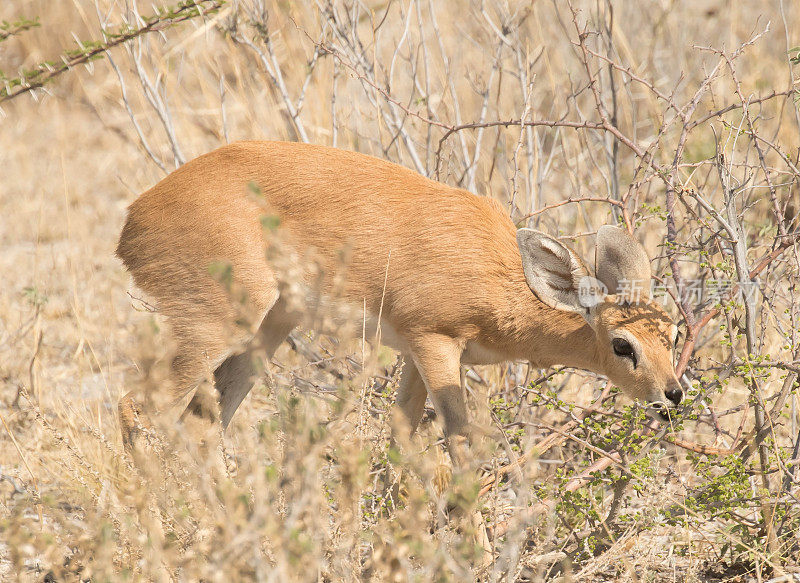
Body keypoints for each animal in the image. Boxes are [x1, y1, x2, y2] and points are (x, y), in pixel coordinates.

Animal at [117, 140, 680, 466]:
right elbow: (460, 443)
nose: (672, 395)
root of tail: (134, 219)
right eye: (622, 344)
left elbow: (400, 437)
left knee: (204, 423)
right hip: (216, 325)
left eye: (671, 332)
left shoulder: (412, 354)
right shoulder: (436, 342)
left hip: (266, 332)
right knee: (134, 408)